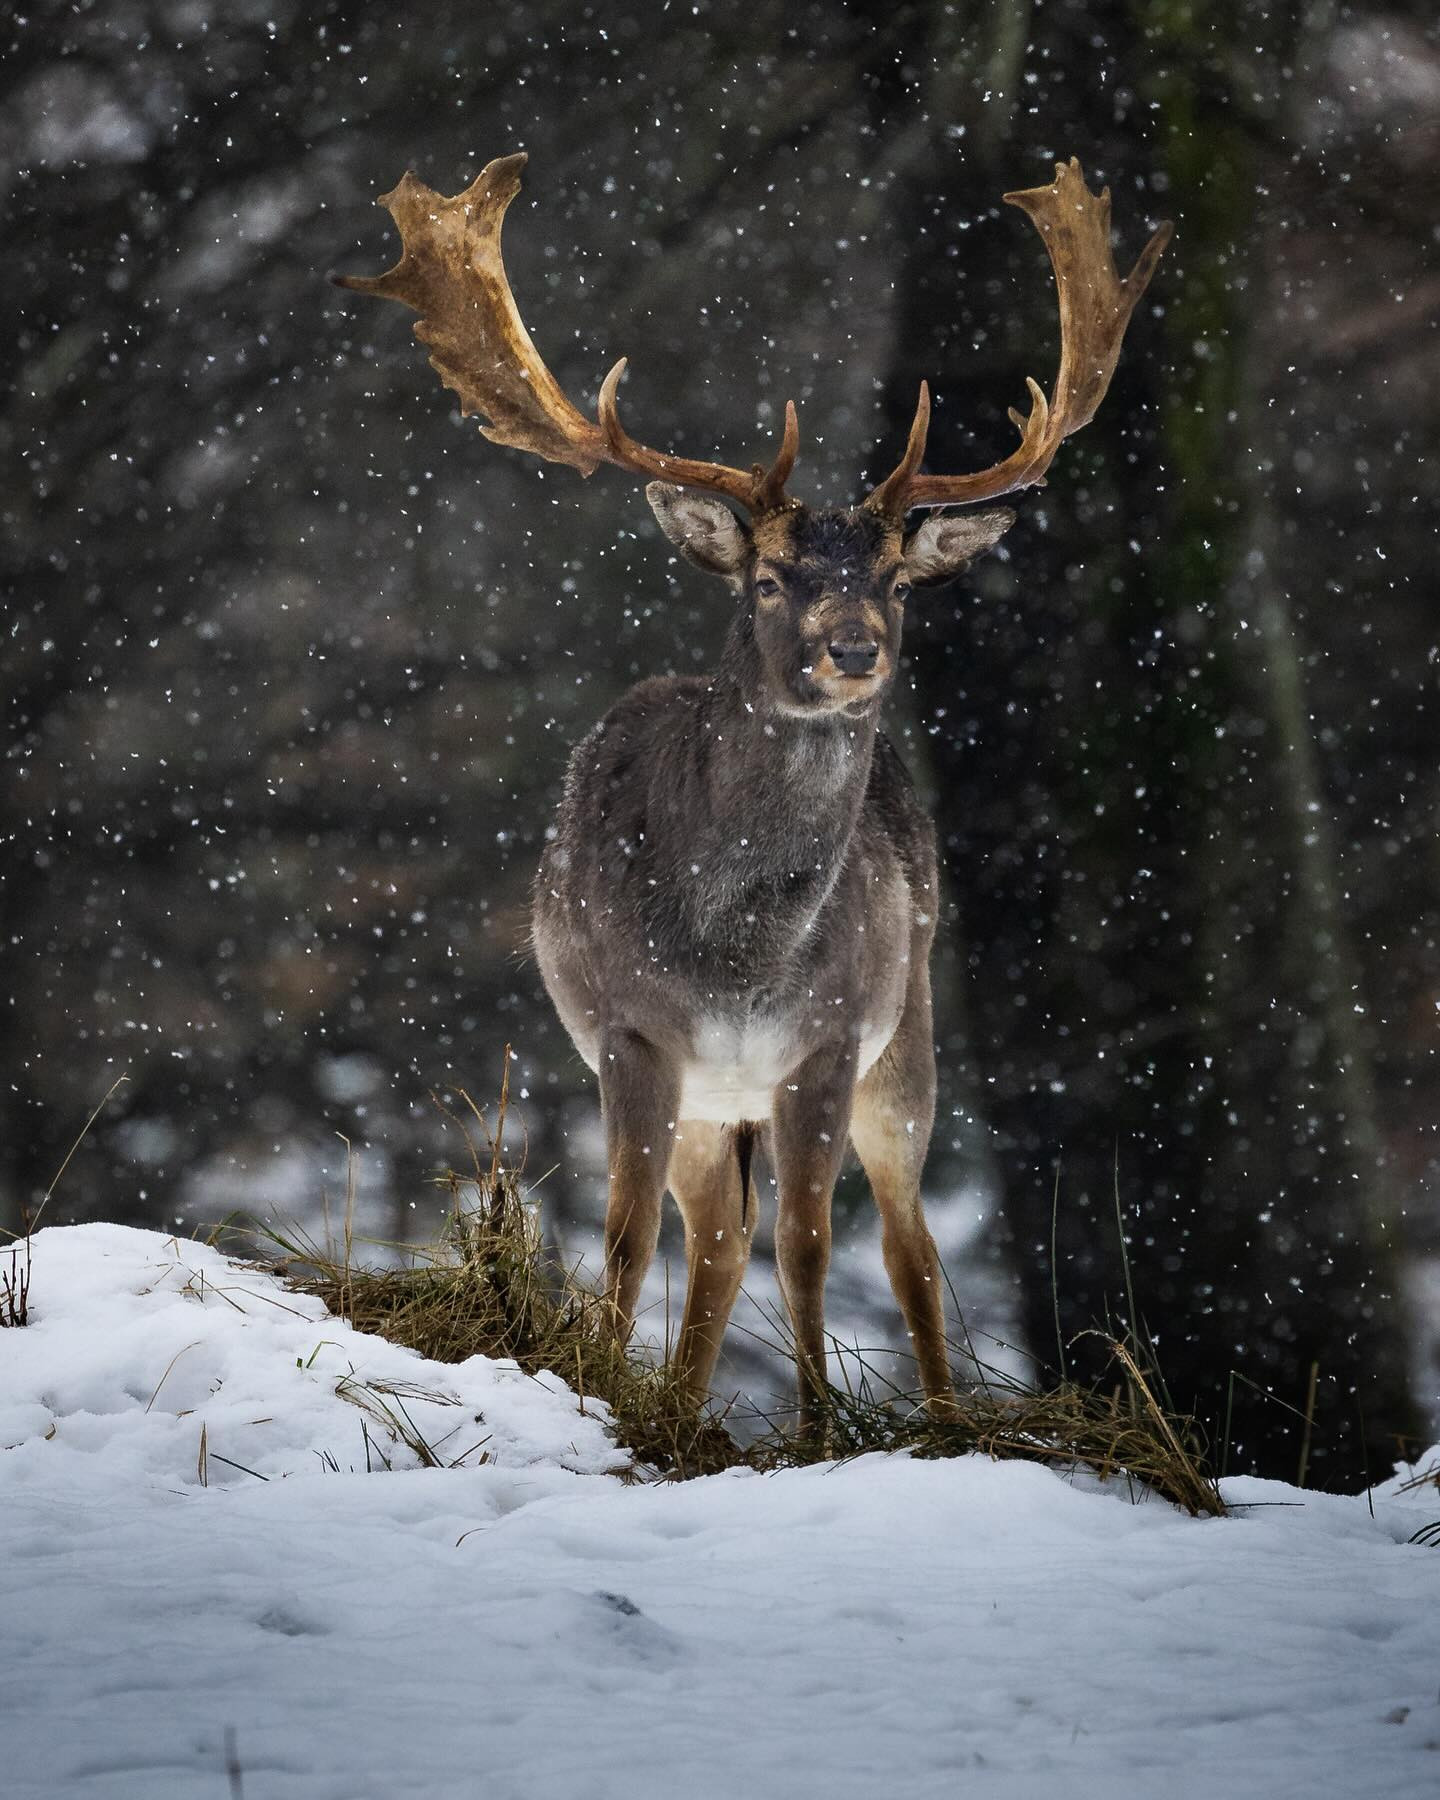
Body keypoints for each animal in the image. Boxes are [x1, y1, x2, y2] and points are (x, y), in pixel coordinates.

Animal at [336, 154, 1169, 1430]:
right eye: (772, 577)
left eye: (896, 581)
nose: (855, 649)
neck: (736, 954)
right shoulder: (630, 1032)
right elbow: (631, 1239)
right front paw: (606, 1395)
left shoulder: (825, 1041)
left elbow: (812, 1244)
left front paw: (822, 1430)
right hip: (717, 1093)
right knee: (718, 1237)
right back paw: (684, 1404)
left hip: (907, 1031)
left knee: (906, 1244)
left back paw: (933, 1414)